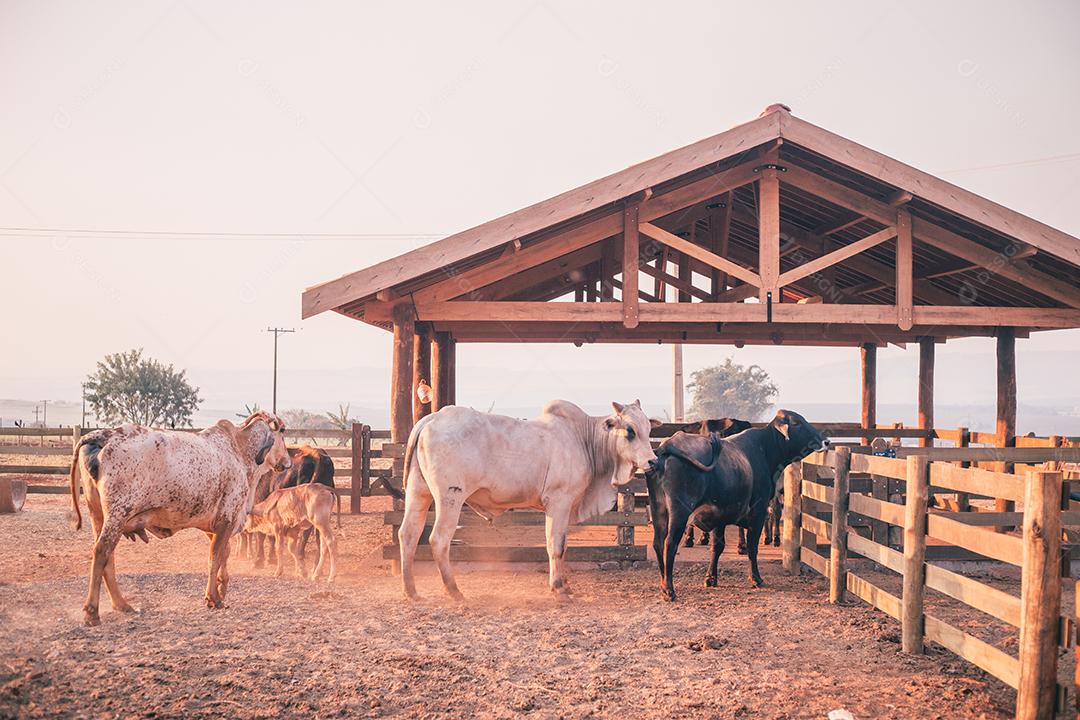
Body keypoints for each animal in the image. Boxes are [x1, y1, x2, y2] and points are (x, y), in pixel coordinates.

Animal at [68, 412, 291, 626]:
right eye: (282, 430)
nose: (287, 462)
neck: (240, 449)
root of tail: (106, 435)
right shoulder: (226, 520)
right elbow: (215, 558)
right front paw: (213, 598)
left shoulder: (213, 526)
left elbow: (224, 555)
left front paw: (221, 588)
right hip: (118, 514)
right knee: (101, 552)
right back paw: (92, 612)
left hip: (99, 515)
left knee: (108, 558)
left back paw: (122, 604)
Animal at [398, 400, 660, 601]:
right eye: (630, 430)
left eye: (648, 429)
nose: (653, 462)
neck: (584, 440)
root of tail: (432, 418)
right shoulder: (558, 501)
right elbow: (555, 545)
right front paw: (558, 589)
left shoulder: (565, 507)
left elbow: (563, 546)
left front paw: (566, 585)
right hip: (450, 498)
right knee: (438, 539)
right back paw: (454, 591)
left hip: (418, 493)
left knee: (408, 534)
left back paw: (411, 591)